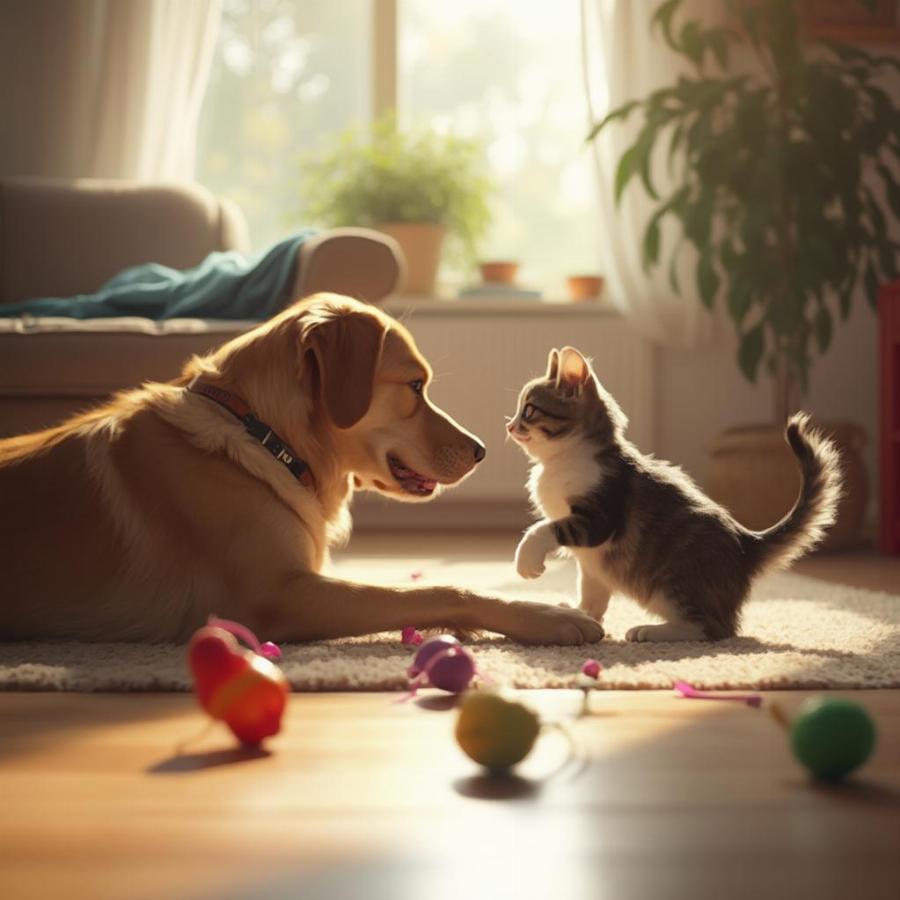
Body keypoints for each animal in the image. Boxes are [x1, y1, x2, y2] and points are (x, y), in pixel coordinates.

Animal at [1, 296, 604, 648]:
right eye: (414, 386)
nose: (482, 449)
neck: (262, 435)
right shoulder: (274, 596)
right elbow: (443, 588)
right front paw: (545, 615)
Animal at [510, 344, 840, 640]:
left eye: (529, 410)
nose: (510, 426)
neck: (563, 461)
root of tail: (746, 542)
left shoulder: (598, 518)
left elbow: (543, 528)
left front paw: (527, 561)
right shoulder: (593, 565)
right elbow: (593, 595)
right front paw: (578, 616)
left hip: (675, 582)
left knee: (714, 629)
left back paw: (651, 631)